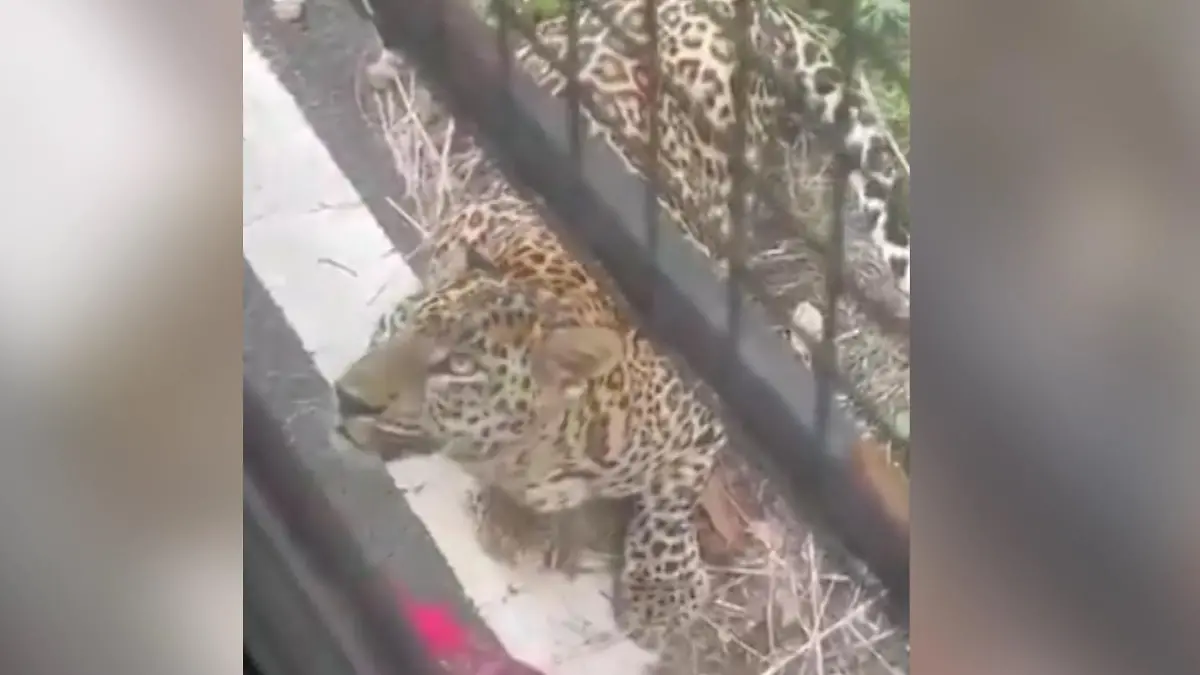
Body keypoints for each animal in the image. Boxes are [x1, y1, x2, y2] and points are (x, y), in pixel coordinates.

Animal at [333, 193, 732, 651]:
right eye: (405, 329)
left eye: (461, 366)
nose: (346, 397)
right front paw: (511, 518)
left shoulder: (700, 422)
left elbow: (669, 505)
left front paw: (662, 592)